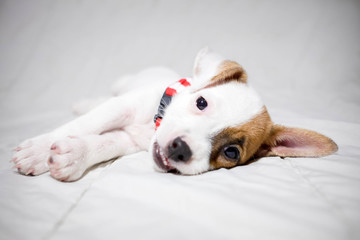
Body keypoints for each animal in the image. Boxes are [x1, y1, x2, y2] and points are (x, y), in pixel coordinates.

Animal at [11, 47, 338, 181]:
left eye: (231, 152)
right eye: (201, 103)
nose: (180, 149)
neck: (150, 126)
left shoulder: (128, 141)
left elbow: (103, 143)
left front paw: (74, 155)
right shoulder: (123, 107)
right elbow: (86, 123)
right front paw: (38, 151)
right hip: (122, 85)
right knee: (100, 101)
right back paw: (85, 102)